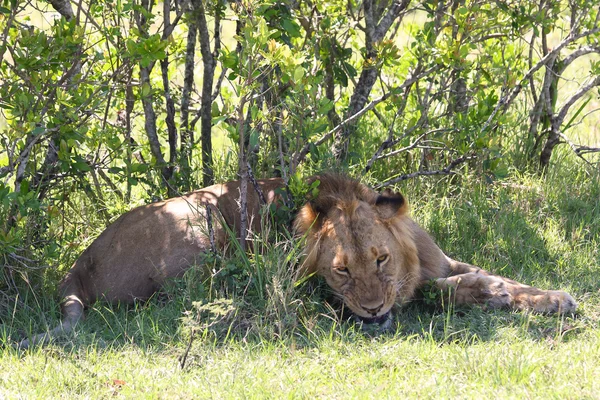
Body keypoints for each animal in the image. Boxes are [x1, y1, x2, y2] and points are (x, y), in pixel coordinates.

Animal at [18, 174, 576, 346]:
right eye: (341, 271)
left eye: (381, 261)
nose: (373, 312)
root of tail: (79, 262)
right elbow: (443, 292)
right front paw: (484, 293)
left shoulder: (440, 259)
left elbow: (498, 275)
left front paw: (554, 298)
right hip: (197, 224)